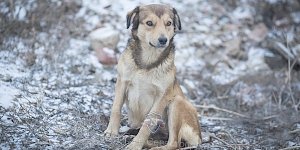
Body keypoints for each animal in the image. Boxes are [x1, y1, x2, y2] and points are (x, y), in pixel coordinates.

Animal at [104, 4, 203, 149]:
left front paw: (135, 145)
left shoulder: (162, 96)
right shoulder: (122, 81)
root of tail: (200, 137)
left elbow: (148, 124)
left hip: (177, 103)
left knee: (173, 143)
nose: (163, 40)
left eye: (169, 23)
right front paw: (112, 131)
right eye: (149, 23)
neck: (147, 62)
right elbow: (116, 108)